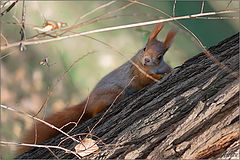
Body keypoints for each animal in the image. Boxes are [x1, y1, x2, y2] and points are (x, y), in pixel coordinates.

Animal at [17, 23, 176, 154]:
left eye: (159, 56)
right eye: (144, 48)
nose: (146, 60)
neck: (152, 67)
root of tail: (88, 102)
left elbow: (166, 68)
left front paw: (168, 71)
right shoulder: (138, 72)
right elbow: (146, 80)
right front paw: (160, 77)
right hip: (115, 92)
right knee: (94, 112)